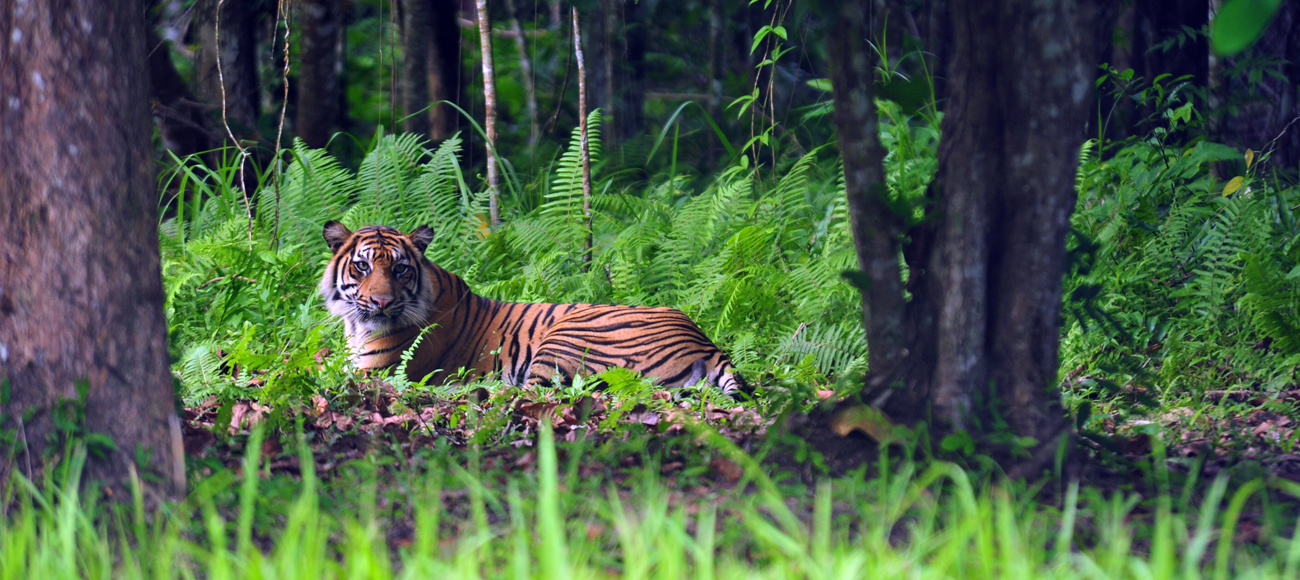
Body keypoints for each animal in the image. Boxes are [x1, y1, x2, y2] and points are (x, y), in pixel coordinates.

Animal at [318, 221, 748, 395]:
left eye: (400, 269)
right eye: (363, 266)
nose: (382, 302)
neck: (355, 326)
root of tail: (704, 339)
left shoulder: (375, 370)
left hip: (566, 337)